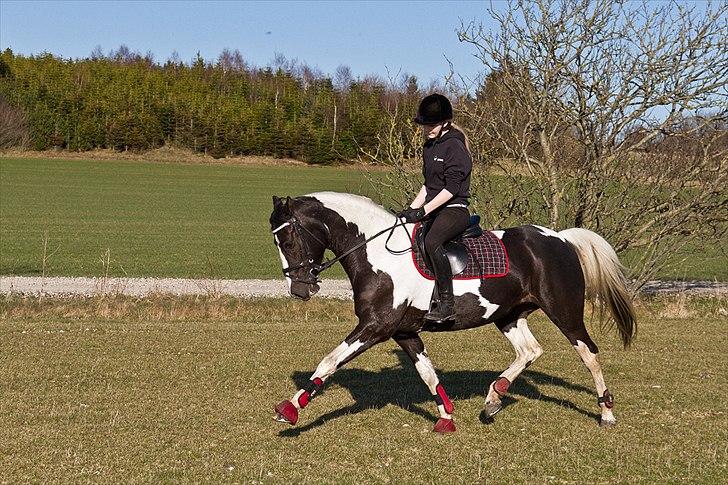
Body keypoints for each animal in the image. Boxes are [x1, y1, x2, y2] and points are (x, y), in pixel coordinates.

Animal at [270, 191, 636, 432]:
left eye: (287, 241)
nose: (300, 290)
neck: (377, 254)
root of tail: (559, 238)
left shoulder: (375, 327)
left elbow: (330, 361)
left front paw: (290, 409)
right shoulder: (404, 332)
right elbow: (427, 373)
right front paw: (446, 417)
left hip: (564, 311)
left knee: (589, 353)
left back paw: (606, 413)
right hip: (508, 315)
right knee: (530, 351)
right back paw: (493, 398)